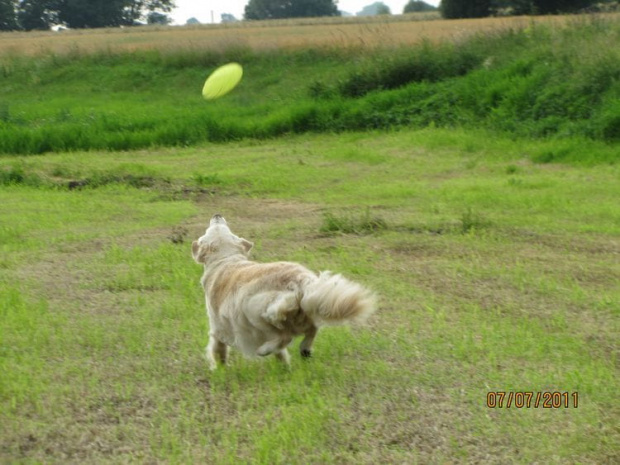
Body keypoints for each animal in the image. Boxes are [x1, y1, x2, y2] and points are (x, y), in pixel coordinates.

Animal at [193, 214, 378, 370]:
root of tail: (302, 280)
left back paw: (265, 350)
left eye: (209, 230)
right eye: (226, 229)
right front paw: (284, 365)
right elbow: (281, 354)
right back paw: (304, 349)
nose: (217, 215)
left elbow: (218, 350)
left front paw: (220, 369)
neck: (226, 259)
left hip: (255, 310)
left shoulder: (218, 327)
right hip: (307, 308)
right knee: (311, 329)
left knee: (286, 336)